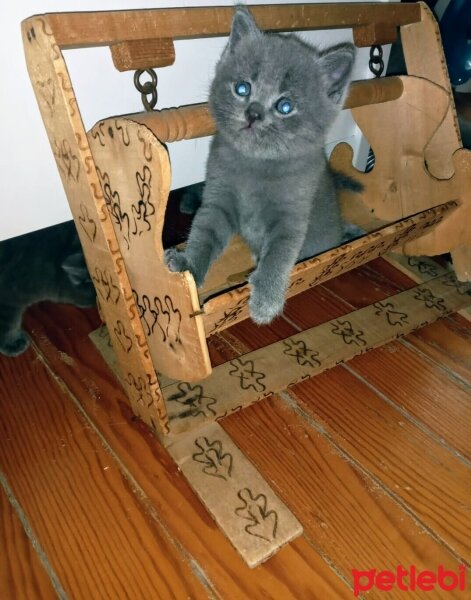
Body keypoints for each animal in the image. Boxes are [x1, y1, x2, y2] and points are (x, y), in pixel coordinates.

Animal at [166, 5, 358, 324]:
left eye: (285, 106)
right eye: (243, 88)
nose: (253, 112)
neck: (256, 163)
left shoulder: (292, 215)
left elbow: (279, 255)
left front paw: (266, 301)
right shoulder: (218, 198)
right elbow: (204, 233)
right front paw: (188, 263)